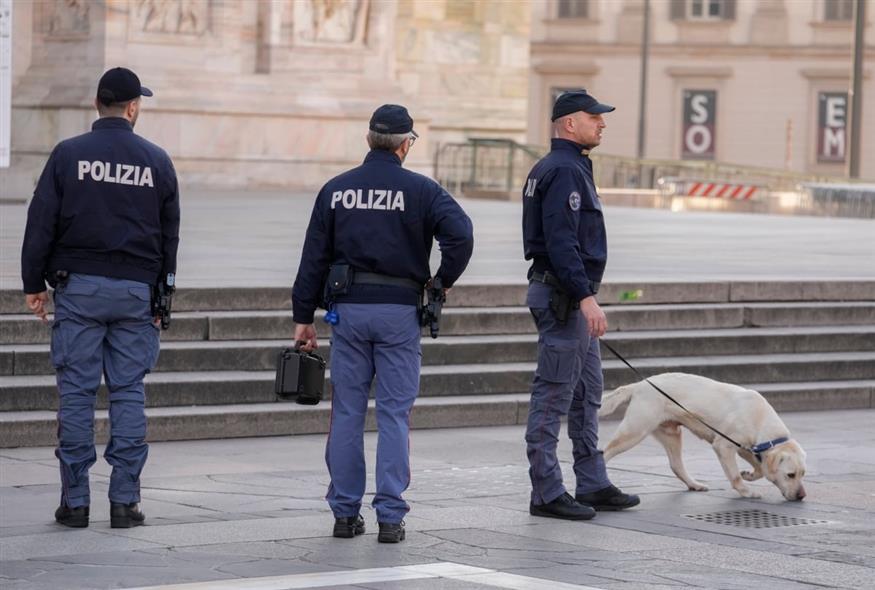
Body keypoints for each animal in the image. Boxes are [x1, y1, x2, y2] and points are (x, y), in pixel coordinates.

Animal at [604, 372, 808, 502]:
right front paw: (746, 491)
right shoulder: (724, 446)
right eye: (790, 475)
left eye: (803, 474)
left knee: (676, 465)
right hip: (635, 431)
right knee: (604, 452)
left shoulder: (746, 448)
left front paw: (749, 475)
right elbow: (735, 476)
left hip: (671, 433)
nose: (801, 496)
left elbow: (760, 469)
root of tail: (640, 384)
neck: (761, 420)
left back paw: (694, 484)